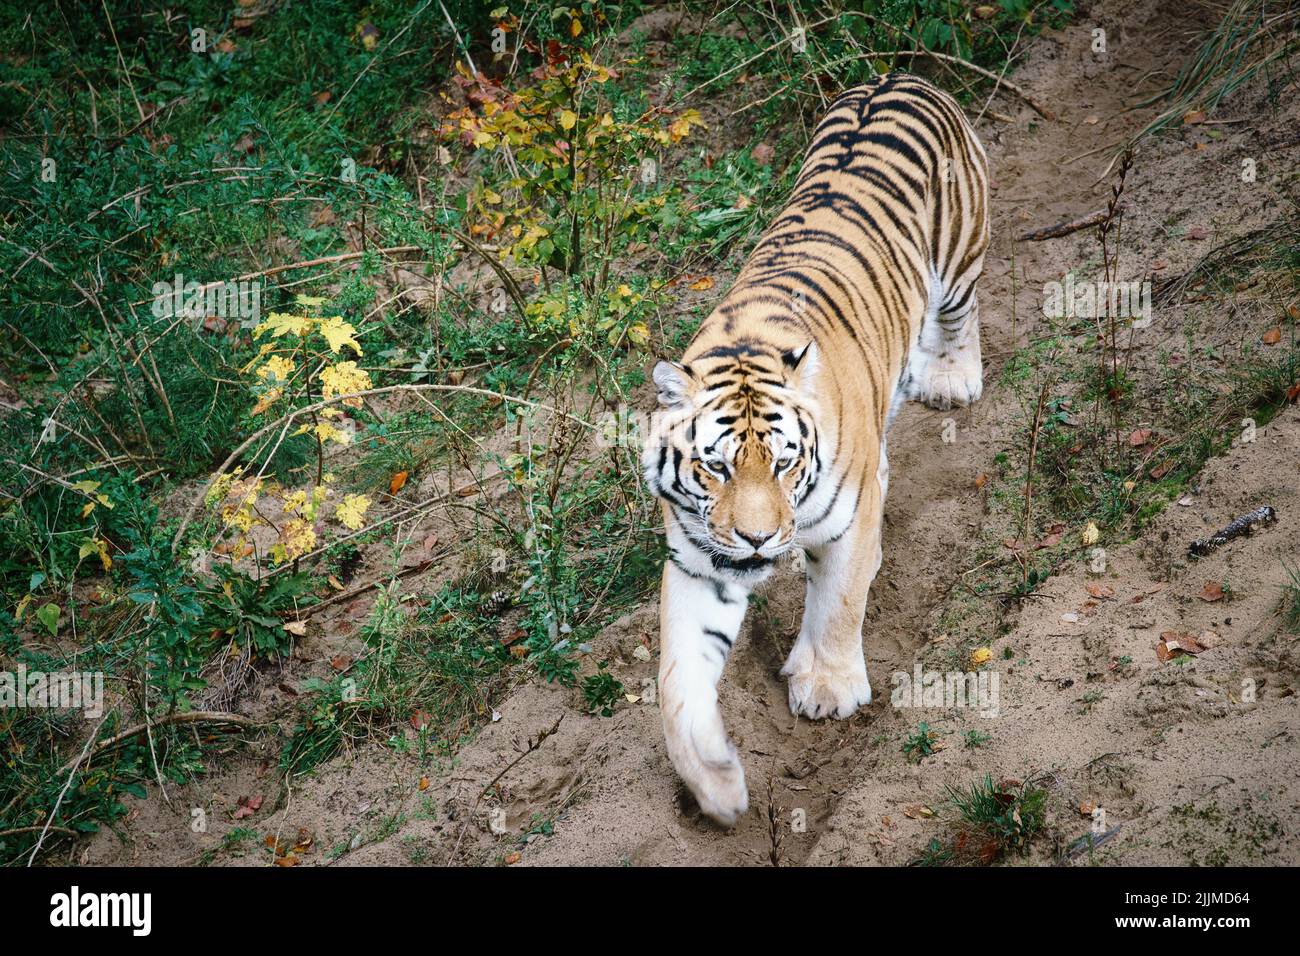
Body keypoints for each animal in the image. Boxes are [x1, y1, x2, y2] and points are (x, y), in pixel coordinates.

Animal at [644, 72, 987, 822]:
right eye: (714, 468)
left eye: (783, 462)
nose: (754, 539)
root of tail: (897, 74)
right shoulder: (696, 560)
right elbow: (677, 680)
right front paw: (715, 782)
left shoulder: (845, 522)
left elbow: (840, 603)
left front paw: (827, 690)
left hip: (959, 258)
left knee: (959, 313)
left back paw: (951, 380)